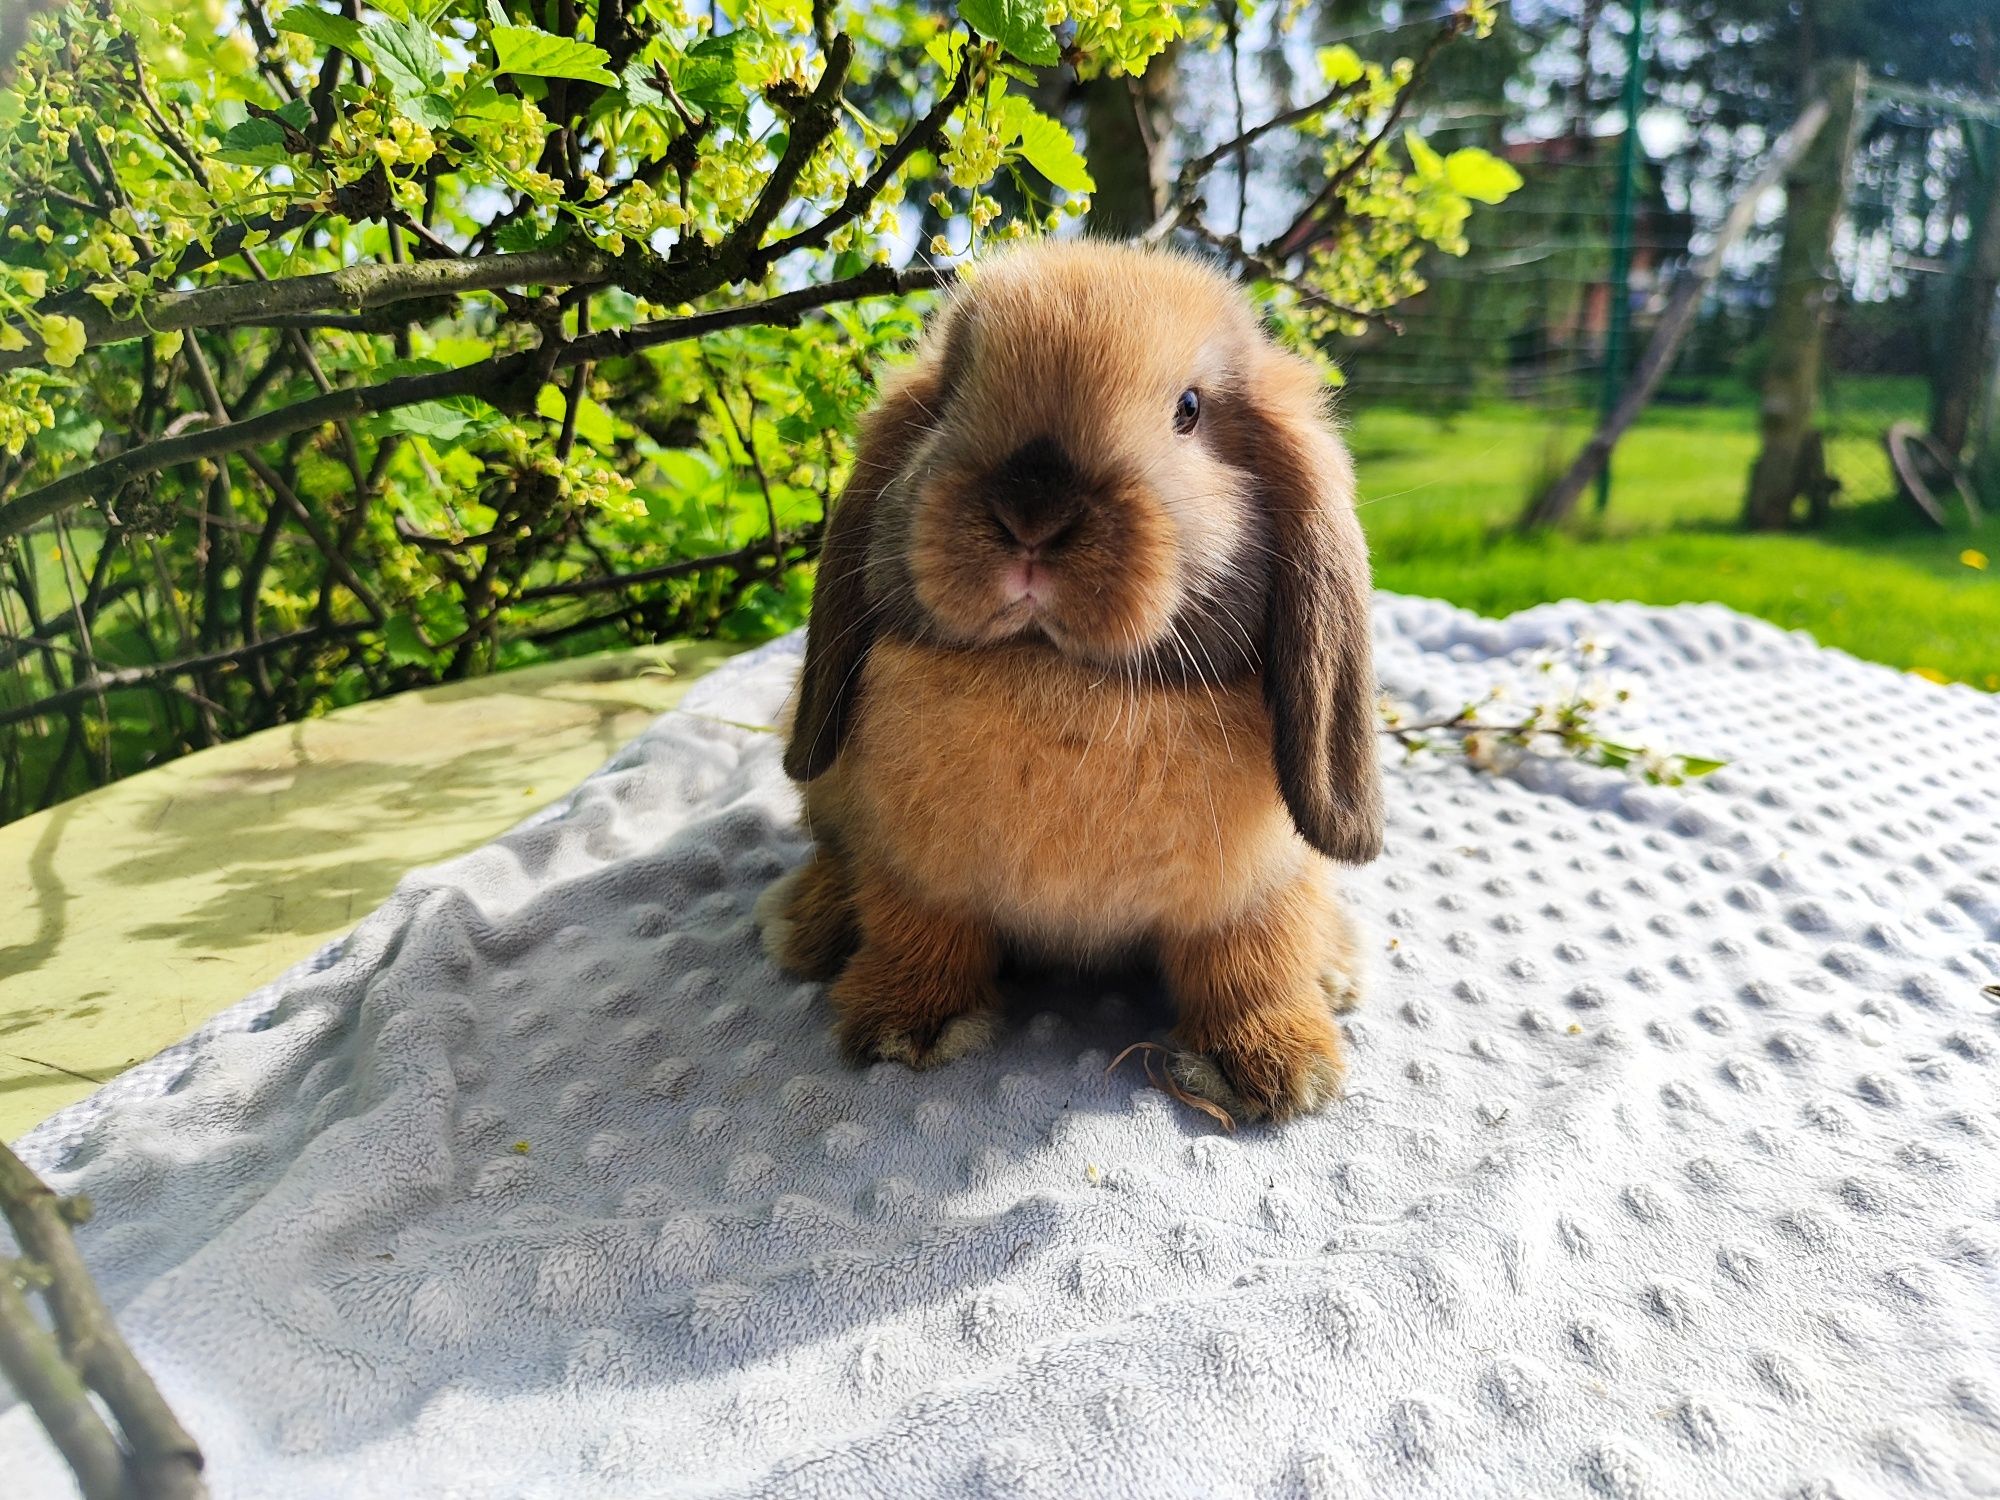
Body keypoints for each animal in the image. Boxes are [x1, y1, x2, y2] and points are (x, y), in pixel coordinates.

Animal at [756, 238, 1384, 1128]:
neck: (1055, 676)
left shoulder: (1254, 891)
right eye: (950, 393)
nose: (1033, 515)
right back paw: (807, 926)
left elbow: (1250, 962)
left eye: (1189, 410)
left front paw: (1274, 1070)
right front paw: (903, 1025)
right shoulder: (915, 871)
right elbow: (919, 933)